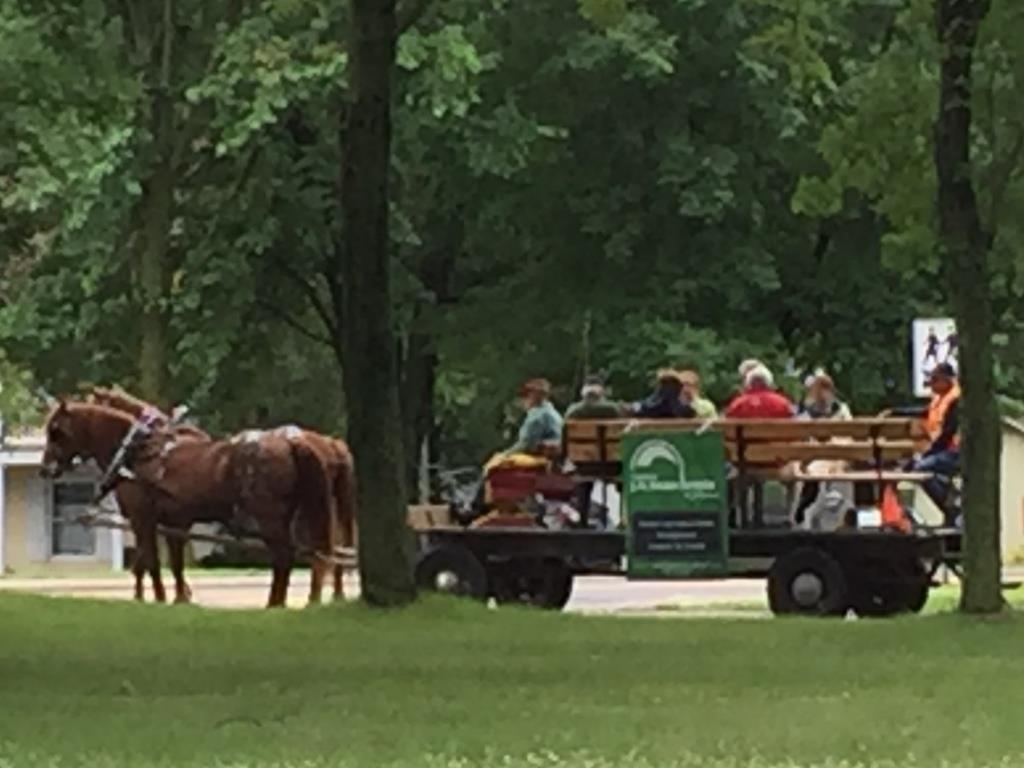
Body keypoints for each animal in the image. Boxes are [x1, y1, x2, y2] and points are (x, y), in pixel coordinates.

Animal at [89, 385, 360, 602]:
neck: (146, 452)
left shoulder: (148, 518)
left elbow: (148, 562)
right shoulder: (173, 521)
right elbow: (164, 562)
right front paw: (178, 596)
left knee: (308, 554)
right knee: (328, 550)